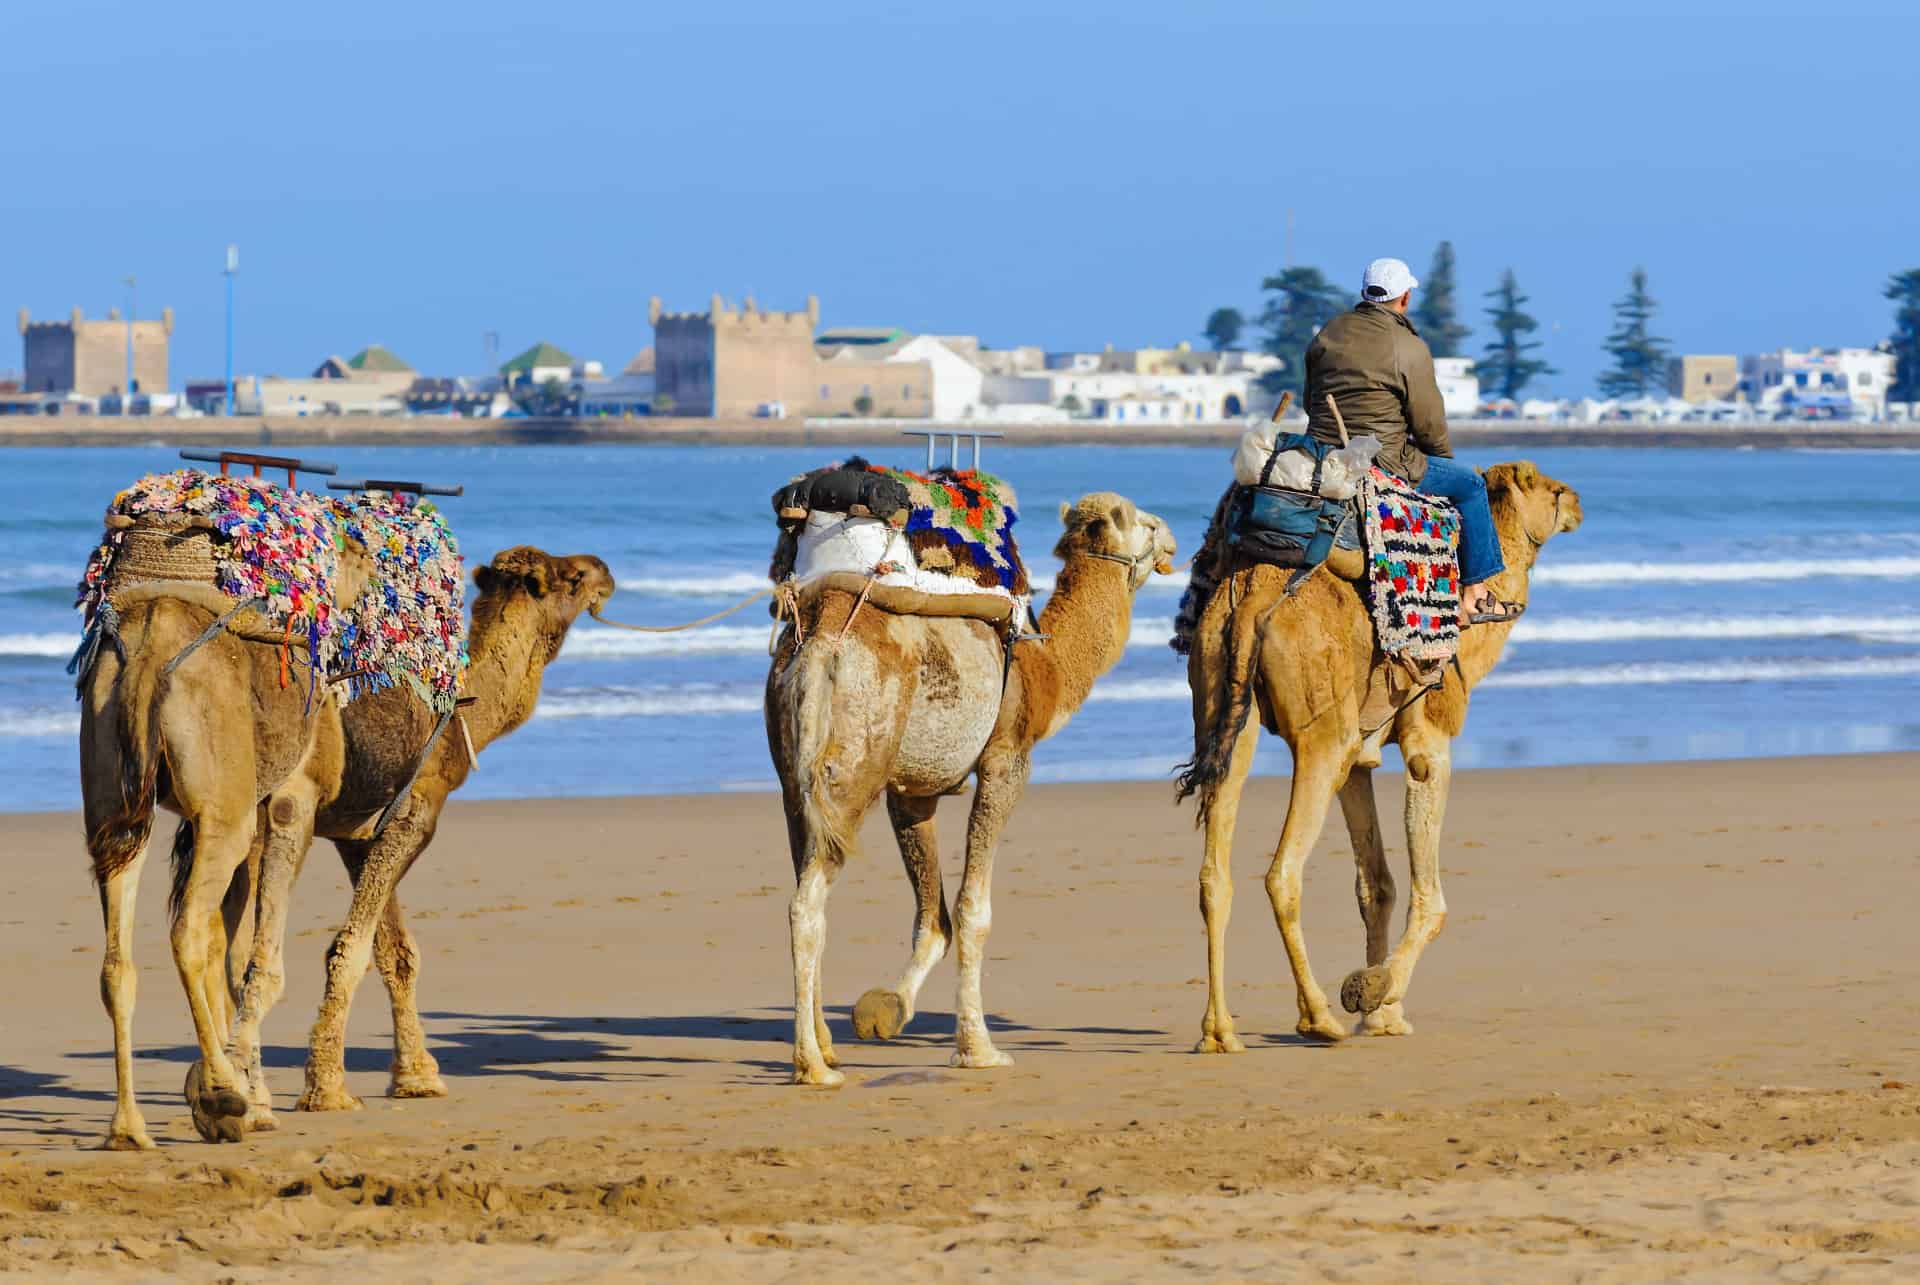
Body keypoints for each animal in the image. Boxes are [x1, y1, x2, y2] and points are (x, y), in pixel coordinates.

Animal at [80, 541, 606, 1144]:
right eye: (571, 577)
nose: (605, 572)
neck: (460, 709)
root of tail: (151, 645)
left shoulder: (355, 830)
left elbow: (390, 951)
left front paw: (415, 1076)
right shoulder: (404, 814)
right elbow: (339, 950)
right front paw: (322, 1089)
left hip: (119, 803)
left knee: (133, 952)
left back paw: (136, 1126)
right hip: (241, 810)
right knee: (205, 939)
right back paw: (229, 1099)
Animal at [764, 491, 1167, 1083]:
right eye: (1147, 523)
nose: (1173, 543)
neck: (1045, 666)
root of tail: (819, 646)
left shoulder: (913, 788)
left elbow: (932, 919)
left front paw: (884, 1010)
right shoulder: (1007, 757)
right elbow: (973, 911)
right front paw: (979, 1049)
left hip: (795, 774)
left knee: (806, 881)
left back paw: (825, 1047)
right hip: (857, 763)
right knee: (806, 904)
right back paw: (813, 1066)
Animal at [1175, 466, 1582, 1044]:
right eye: (1551, 489)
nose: (1578, 503)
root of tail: (1252, 599)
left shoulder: (1359, 759)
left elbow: (1376, 885)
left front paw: (1382, 1014)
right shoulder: (1429, 738)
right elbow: (1429, 898)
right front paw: (1371, 994)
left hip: (1225, 705)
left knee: (1214, 875)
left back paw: (1219, 1032)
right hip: (1321, 737)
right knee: (1282, 872)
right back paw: (1319, 1017)